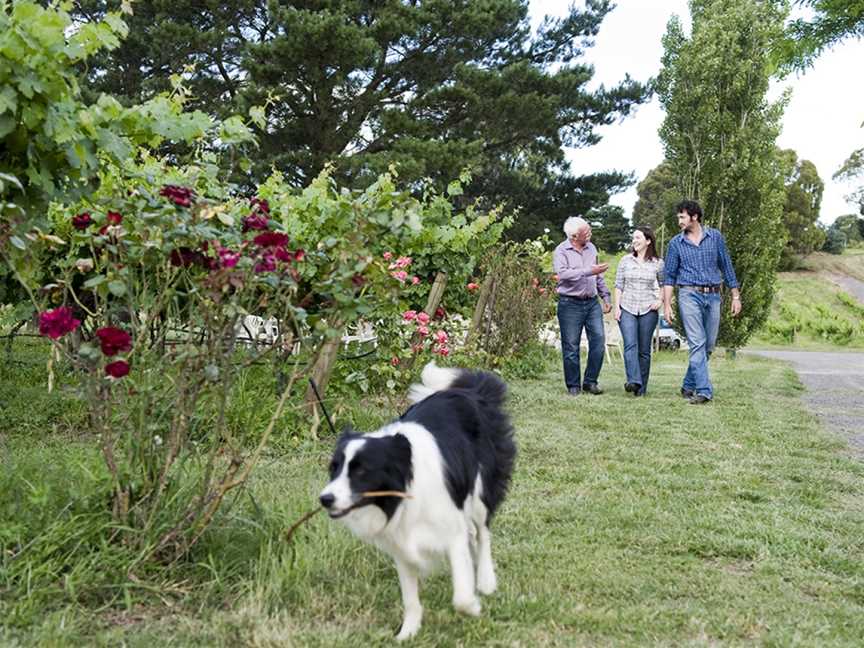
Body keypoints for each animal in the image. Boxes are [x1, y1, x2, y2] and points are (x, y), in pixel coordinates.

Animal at [320, 362, 516, 640]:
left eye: (361, 471)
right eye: (333, 468)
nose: (325, 499)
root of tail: (471, 391)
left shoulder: (450, 529)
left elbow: (460, 598)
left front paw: (474, 606)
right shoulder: (401, 544)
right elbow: (410, 598)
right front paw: (407, 633)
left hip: (480, 487)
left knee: (482, 531)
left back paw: (486, 580)